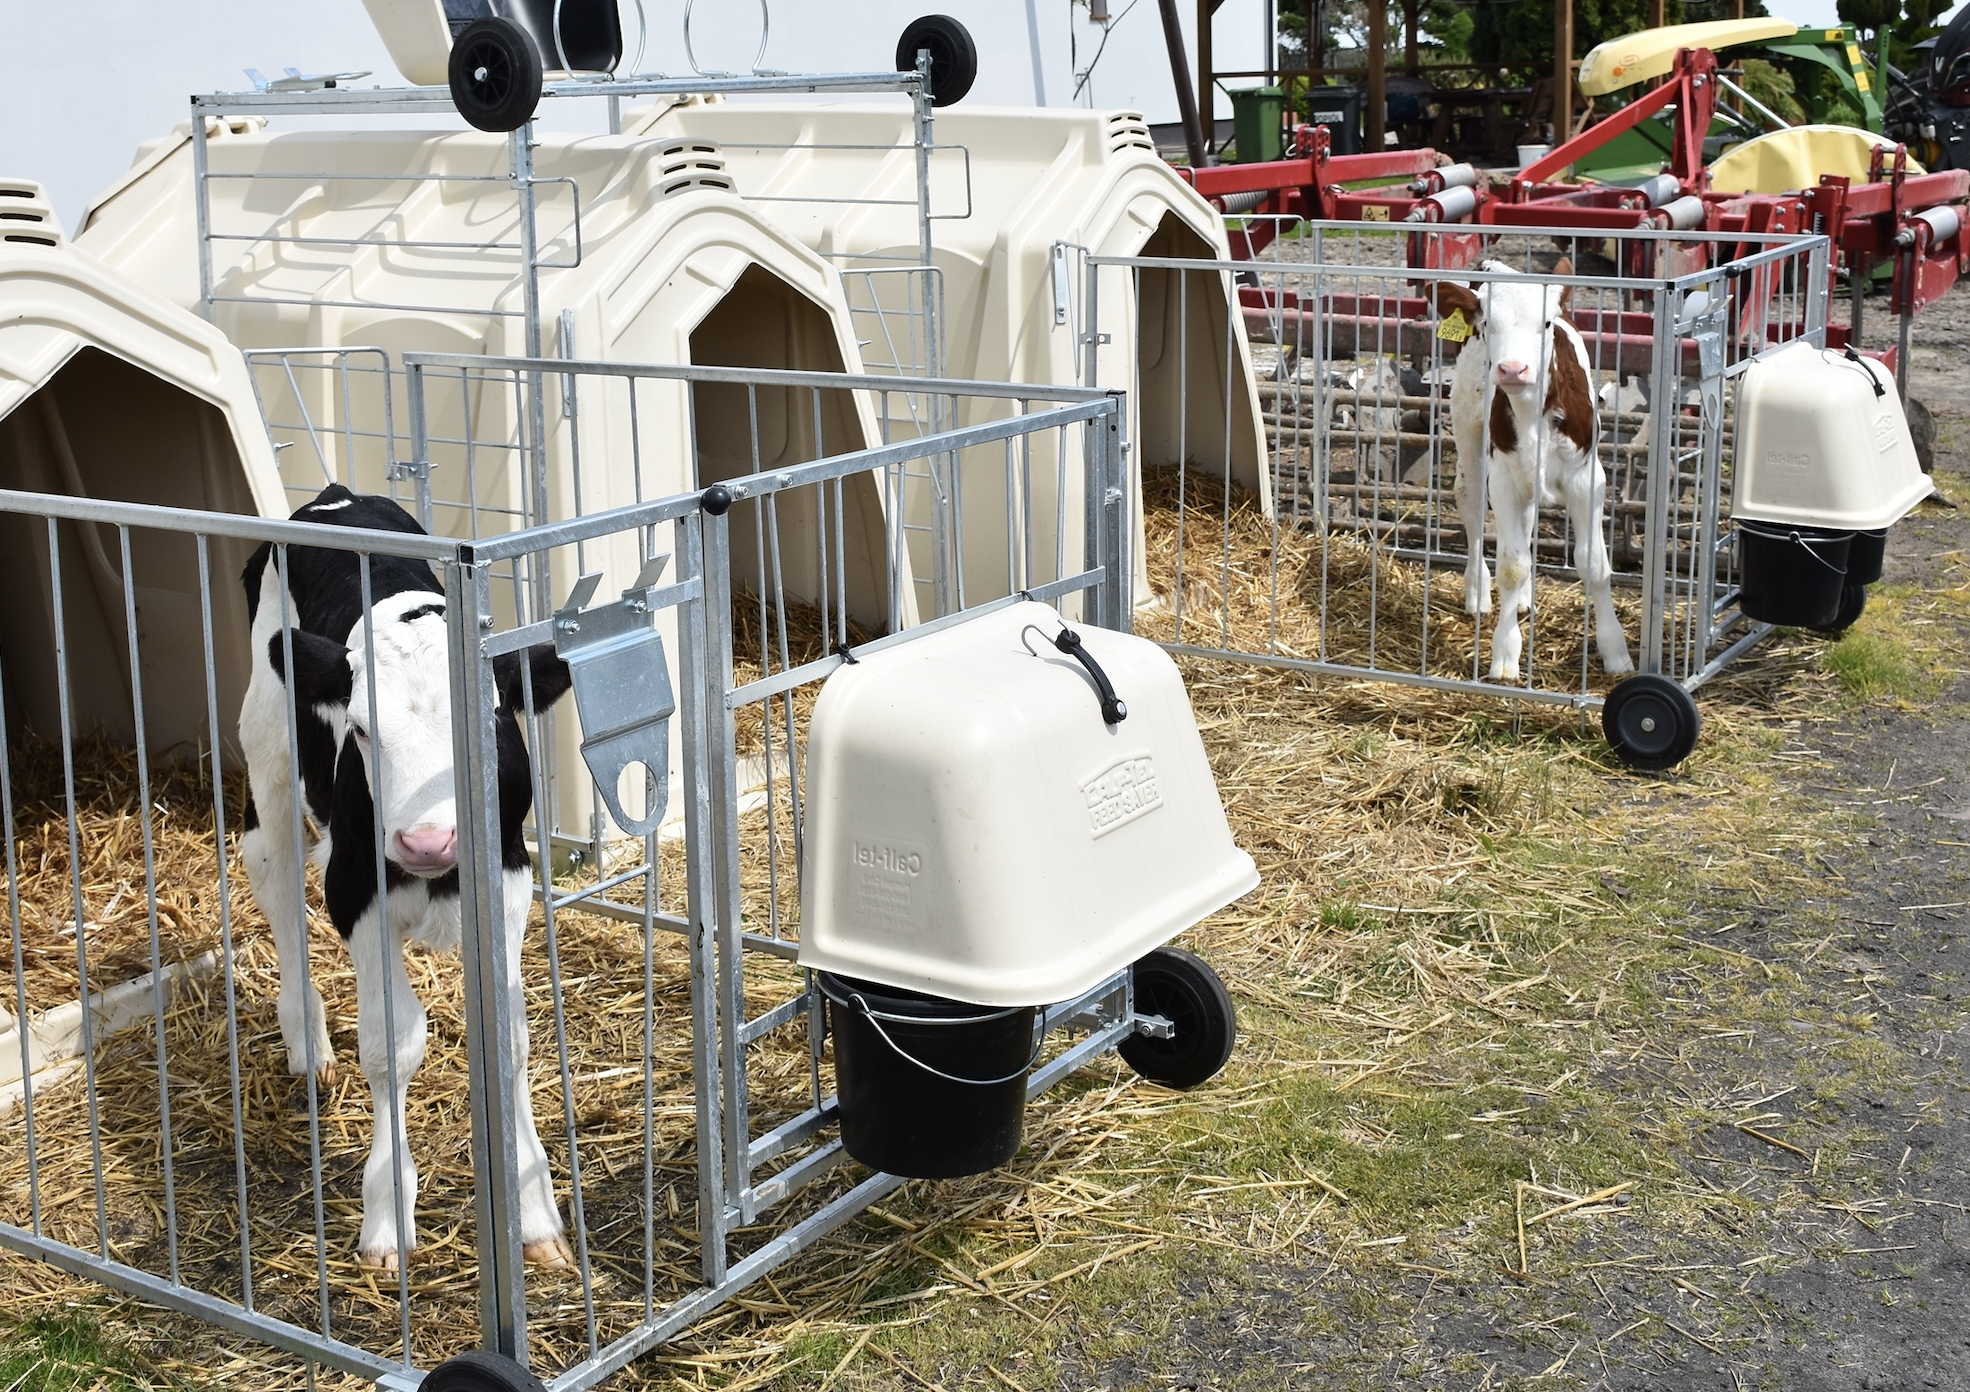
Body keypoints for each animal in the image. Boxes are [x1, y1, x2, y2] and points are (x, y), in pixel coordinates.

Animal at [240, 482, 575, 1275]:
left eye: (490, 721)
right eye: (361, 728)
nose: (426, 839)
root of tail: (336, 498)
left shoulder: (508, 877)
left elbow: (511, 1038)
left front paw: (533, 1212)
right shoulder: (355, 891)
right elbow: (391, 1045)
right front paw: (387, 1218)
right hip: (266, 745)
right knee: (272, 873)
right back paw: (308, 1042)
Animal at [1434, 261, 1631, 685]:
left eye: (1546, 323)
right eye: (1487, 324)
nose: (1512, 369)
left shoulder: (1587, 478)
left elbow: (1594, 564)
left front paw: (1615, 651)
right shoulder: (1503, 477)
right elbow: (1511, 565)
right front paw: (1506, 655)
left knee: (1526, 522)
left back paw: (1523, 599)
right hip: (1467, 422)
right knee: (1471, 501)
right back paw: (1478, 592)